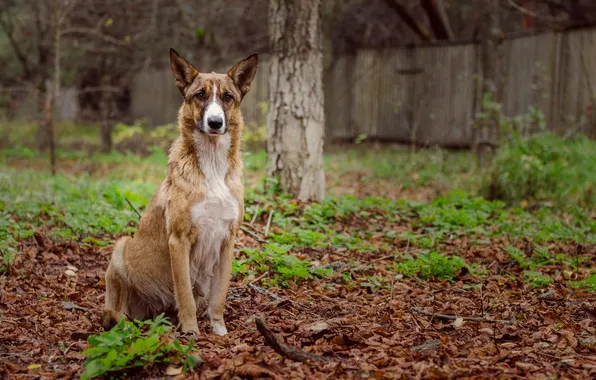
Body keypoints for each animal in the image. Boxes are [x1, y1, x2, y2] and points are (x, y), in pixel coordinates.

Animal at [102, 48, 258, 336]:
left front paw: (219, 331)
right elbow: (185, 294)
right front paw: (191, 331)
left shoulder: (227, 241)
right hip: (121, 248)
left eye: (227, 97)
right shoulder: (179, 241)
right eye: (200, 95)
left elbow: (219, 296)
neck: (211, 163)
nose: (215, 122)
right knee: (117, 312)